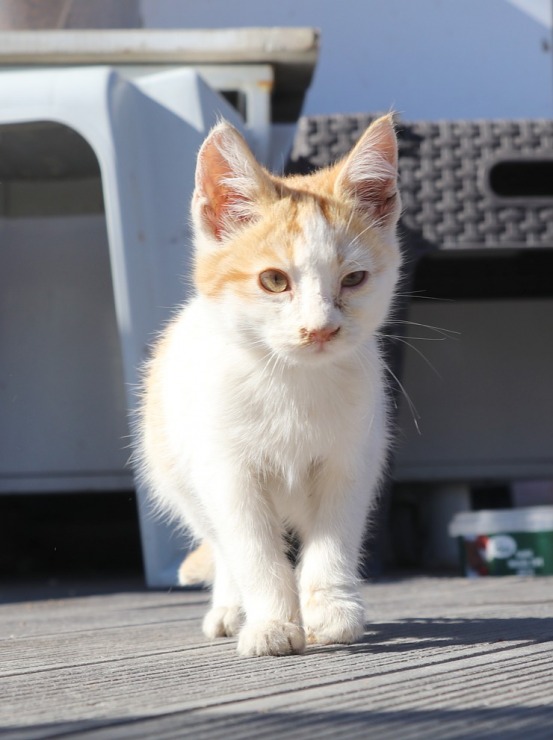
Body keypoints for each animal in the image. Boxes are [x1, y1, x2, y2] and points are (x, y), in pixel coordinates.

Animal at [138, 117, 402, 660]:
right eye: (275, 280)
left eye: (354, 279)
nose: (320, 329)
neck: (292, 384)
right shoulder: (226, 472)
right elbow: (251, 550)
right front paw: (272, 623)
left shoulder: (352, 460)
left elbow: (334, 539)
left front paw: (332, 610)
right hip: (177, 471)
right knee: (221, 544)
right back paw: (229, 608)